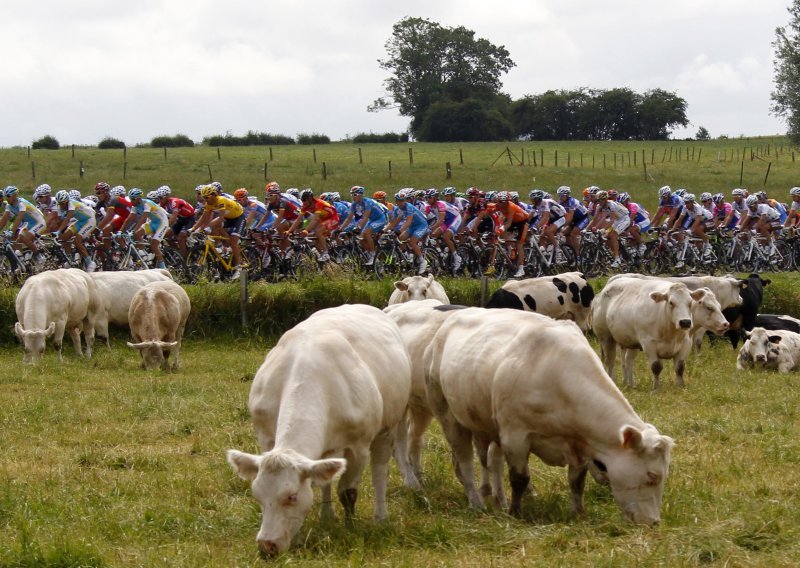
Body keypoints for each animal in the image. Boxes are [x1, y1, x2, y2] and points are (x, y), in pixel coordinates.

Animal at [227, 306, 410, 556]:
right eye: (257, 494)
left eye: (292, 496)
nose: (267, 545)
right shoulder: (266, 439)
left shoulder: (358, 447)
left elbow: (348, 492)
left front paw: (350, 527)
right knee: (325, 480)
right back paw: (327, 516)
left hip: (387, 429)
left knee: (379, 471)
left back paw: (380, 517)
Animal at [424, 308, 676, 524]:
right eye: (652, 475)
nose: (654, 522)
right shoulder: (515, 436)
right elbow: (519, 478)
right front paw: (516, 512)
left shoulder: (578, 444)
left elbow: (577, 482)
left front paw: (578, 513)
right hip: (447, 415)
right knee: (465, 461)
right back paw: (476, 501)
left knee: (489, 461)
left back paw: (495, 497)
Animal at [592, 276, 728, 390]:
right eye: (671, 302)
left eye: (690, 303)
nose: (685, 322)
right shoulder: (648, 344)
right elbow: (656, 367)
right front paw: (656, 388)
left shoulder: (685, 344)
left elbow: (680, 367)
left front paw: (680, 387)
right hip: (607, 338)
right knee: (610, 361)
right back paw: (613, 382)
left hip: (632, 342)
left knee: (628, 361)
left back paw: (632, 385)